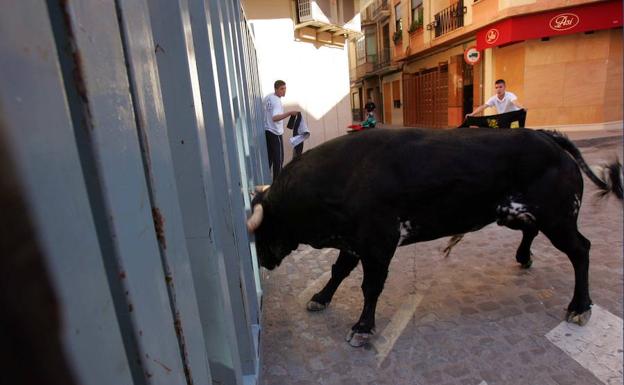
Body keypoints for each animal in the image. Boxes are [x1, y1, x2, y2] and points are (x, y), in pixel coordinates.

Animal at [246, 127, 620, 346]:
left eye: (264, 230)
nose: (260, 260)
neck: (342, 176)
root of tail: (546, 137)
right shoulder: (352, 242)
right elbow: (338, 272)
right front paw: (321, 298)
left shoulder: (378, 245)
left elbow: (370, 287)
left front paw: (363, 327)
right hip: (514, 214)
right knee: (531, 230)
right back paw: (524, 258)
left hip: (558, 219)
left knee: (581, 250)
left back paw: (580, 306)